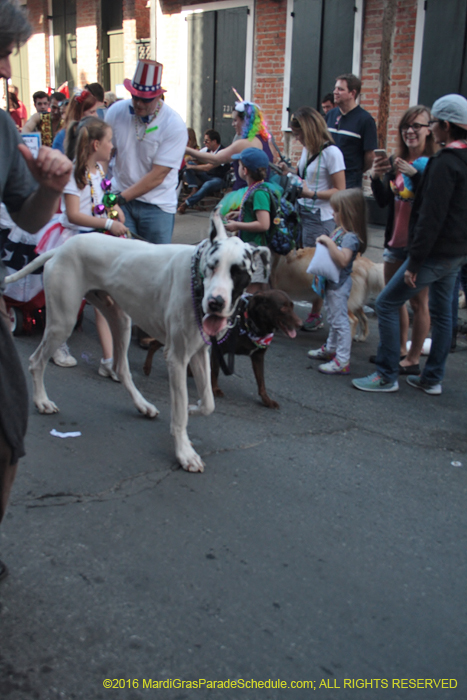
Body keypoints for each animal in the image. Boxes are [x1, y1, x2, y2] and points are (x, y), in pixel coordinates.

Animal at [5, 215, 270, 470]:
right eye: (212, 266)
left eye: (238, 272)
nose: (215, 302)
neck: (196, 278)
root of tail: (62, 248)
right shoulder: (177, 359)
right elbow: (180, 413)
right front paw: (184, 452)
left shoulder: (199, 353)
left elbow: (208, 403)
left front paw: (192, 408)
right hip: (63, 321)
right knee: (36, 361)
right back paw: (41, 401)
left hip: (120, 319)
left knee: (121, 368)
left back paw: (142, 405)